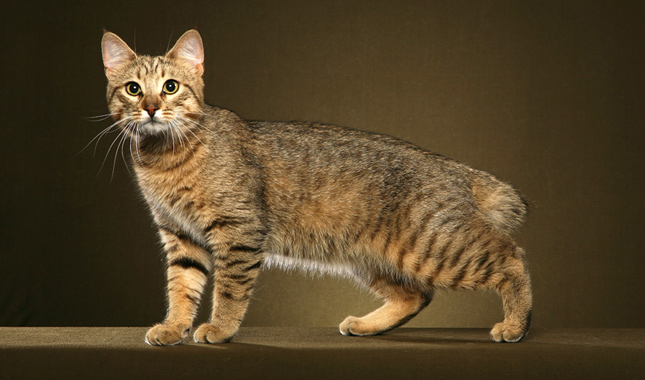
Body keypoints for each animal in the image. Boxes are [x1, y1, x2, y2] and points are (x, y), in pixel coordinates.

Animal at [100, 29, 532, 344]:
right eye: (134, 89)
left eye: (170, 87)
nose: (151, 107)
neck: (163, 158)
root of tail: (452, 167)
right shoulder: (180, 237)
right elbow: (181, 289)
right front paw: (174, 328)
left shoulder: (238, 232)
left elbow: (229, 290)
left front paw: (220, 329)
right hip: (373, 258)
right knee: (418, 295)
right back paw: (367, 325)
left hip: (436, 248)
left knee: (512, 258)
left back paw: (515, 325)